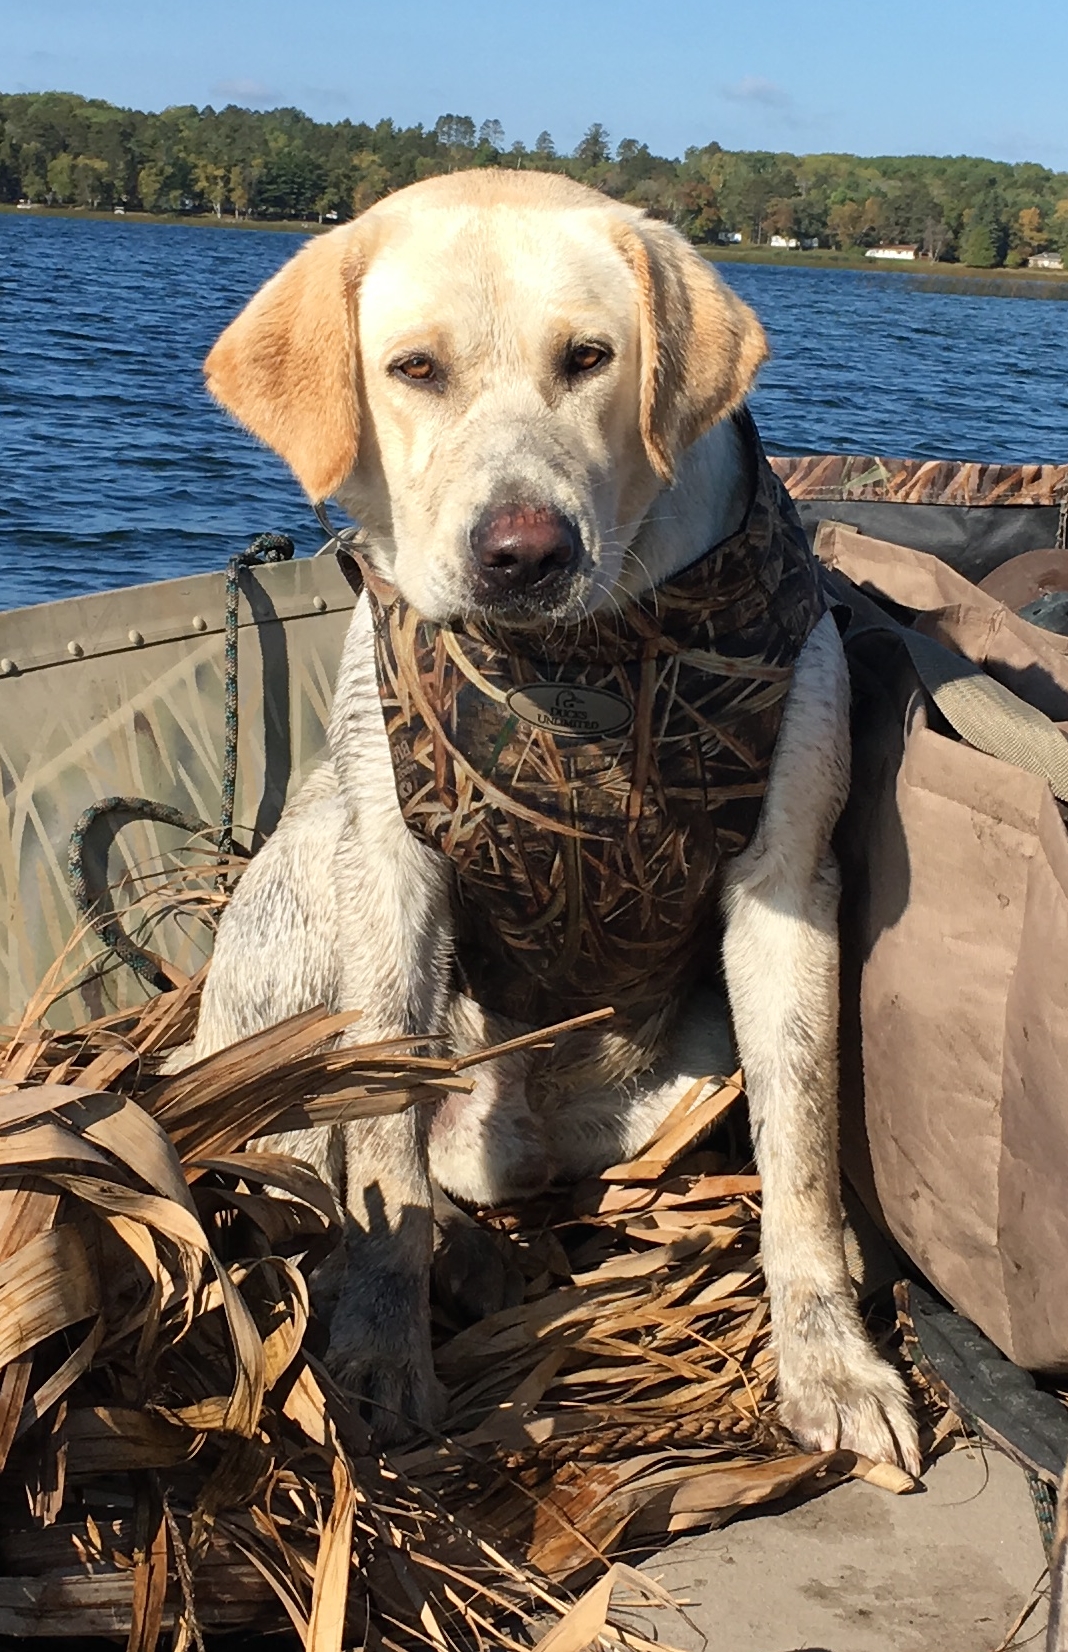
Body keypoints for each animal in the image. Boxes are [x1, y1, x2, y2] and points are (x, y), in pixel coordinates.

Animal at [184, 170, 919, 1473]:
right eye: (414, 368)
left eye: (589, 357)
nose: (522, 553)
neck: (580, 668)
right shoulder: (393, 870)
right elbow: (381, 1159)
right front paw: (378, 1350)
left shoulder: (785, 886)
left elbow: (802, 1148)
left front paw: (831, 1358)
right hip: (305, 891)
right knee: (326, 1167)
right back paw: (457, 1257)